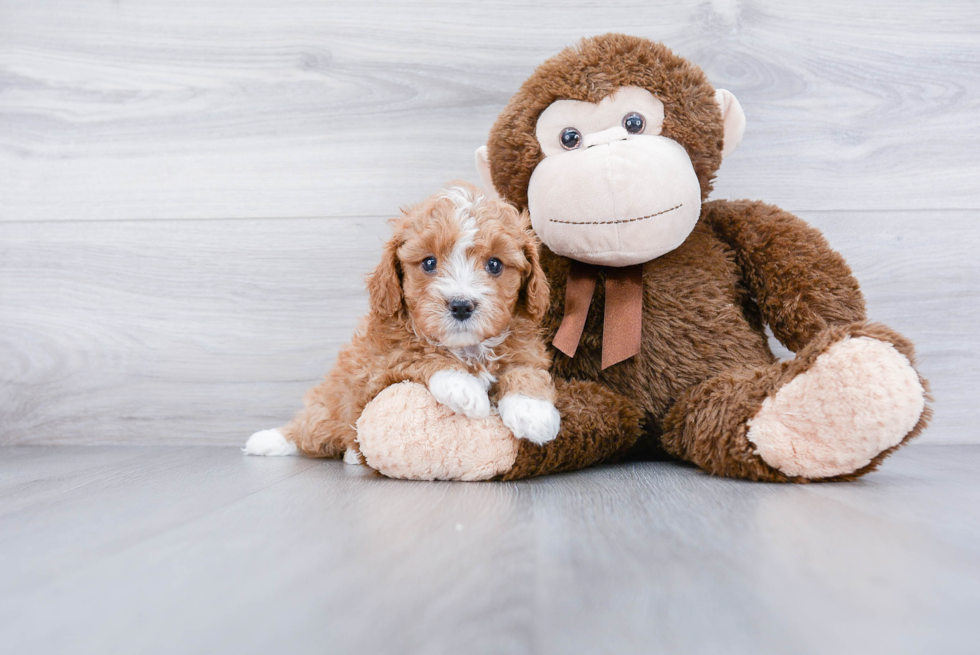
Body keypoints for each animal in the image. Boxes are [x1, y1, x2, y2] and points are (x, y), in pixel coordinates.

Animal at [245, 181, 564, 462]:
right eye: (429, 262)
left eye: (495, 264)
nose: (461, 306)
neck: (467, 349)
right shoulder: (378, 365)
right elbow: (419, 355)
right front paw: (464, 388)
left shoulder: (524, 347)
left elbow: (525, 371)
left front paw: (533, 412)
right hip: (331, 404)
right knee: (311, 427)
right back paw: (268, 440)